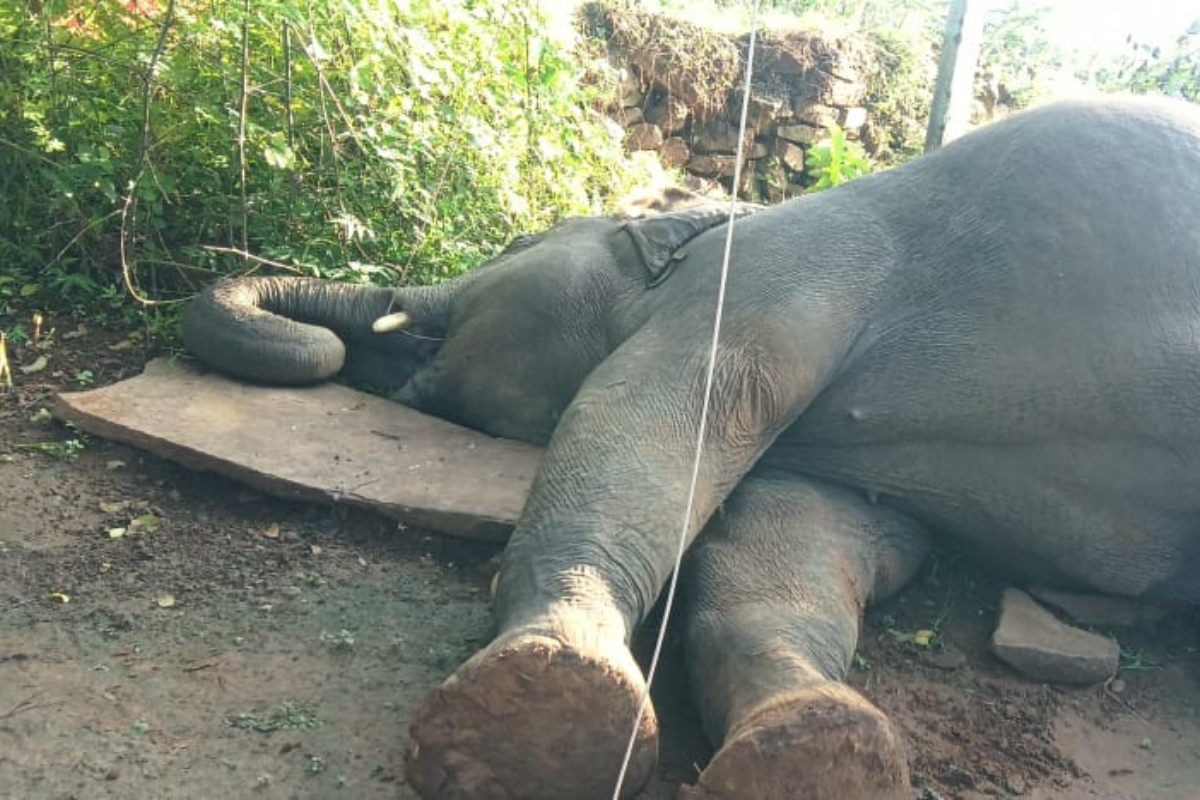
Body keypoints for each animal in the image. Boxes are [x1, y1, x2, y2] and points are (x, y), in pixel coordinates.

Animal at [182, 96, 1200, 799]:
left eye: (512, 244)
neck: (732, 207)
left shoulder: (773, 275)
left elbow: (659, 412)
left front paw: (540, 697)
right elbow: (808, 528)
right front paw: (816, 750)